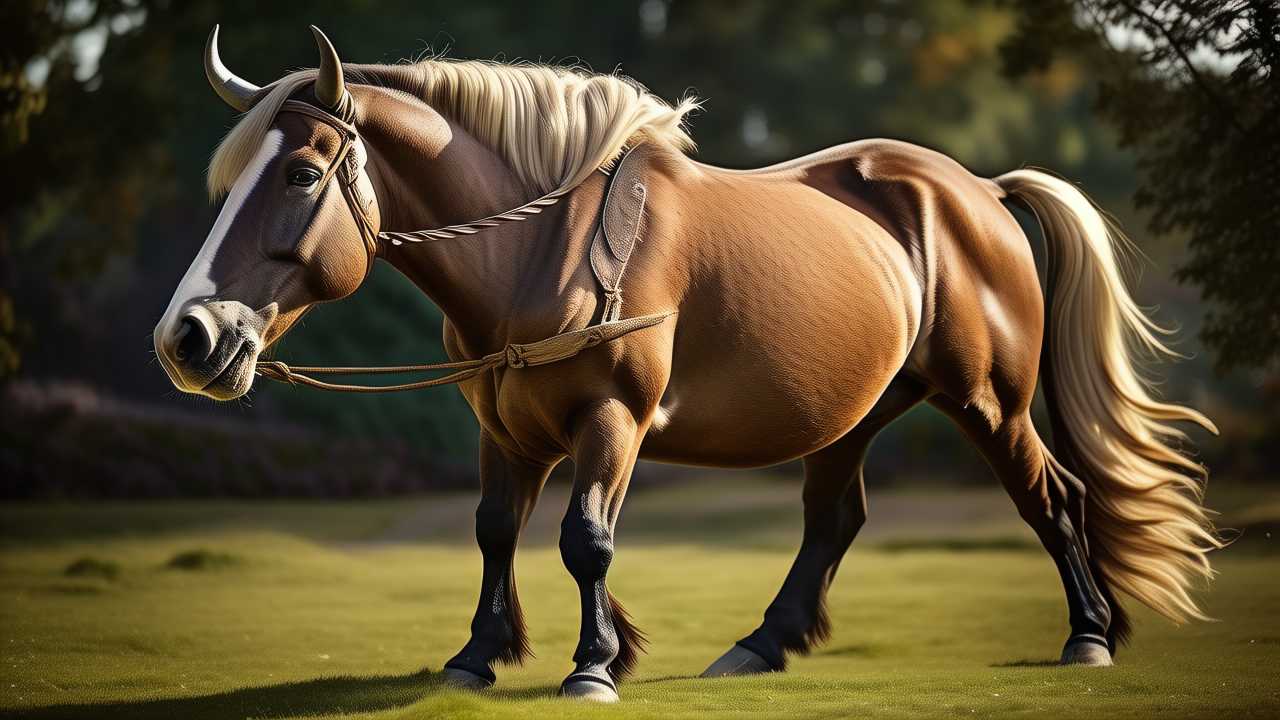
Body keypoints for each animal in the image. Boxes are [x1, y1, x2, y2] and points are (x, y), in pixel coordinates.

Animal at [154, 26, 1221, 702]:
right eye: (229, 181)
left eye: (301, 174)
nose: (188, 338)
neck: (546, 247)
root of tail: (979, 192)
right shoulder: (503, 428)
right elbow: (497, 532)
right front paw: (480, 655)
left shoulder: (614, 421)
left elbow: (585, 539)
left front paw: (592, 666)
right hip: (856, 413)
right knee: (835, 518)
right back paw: (761, 644)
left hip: (989, 401)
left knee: (1054, 498)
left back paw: (1089, 635)